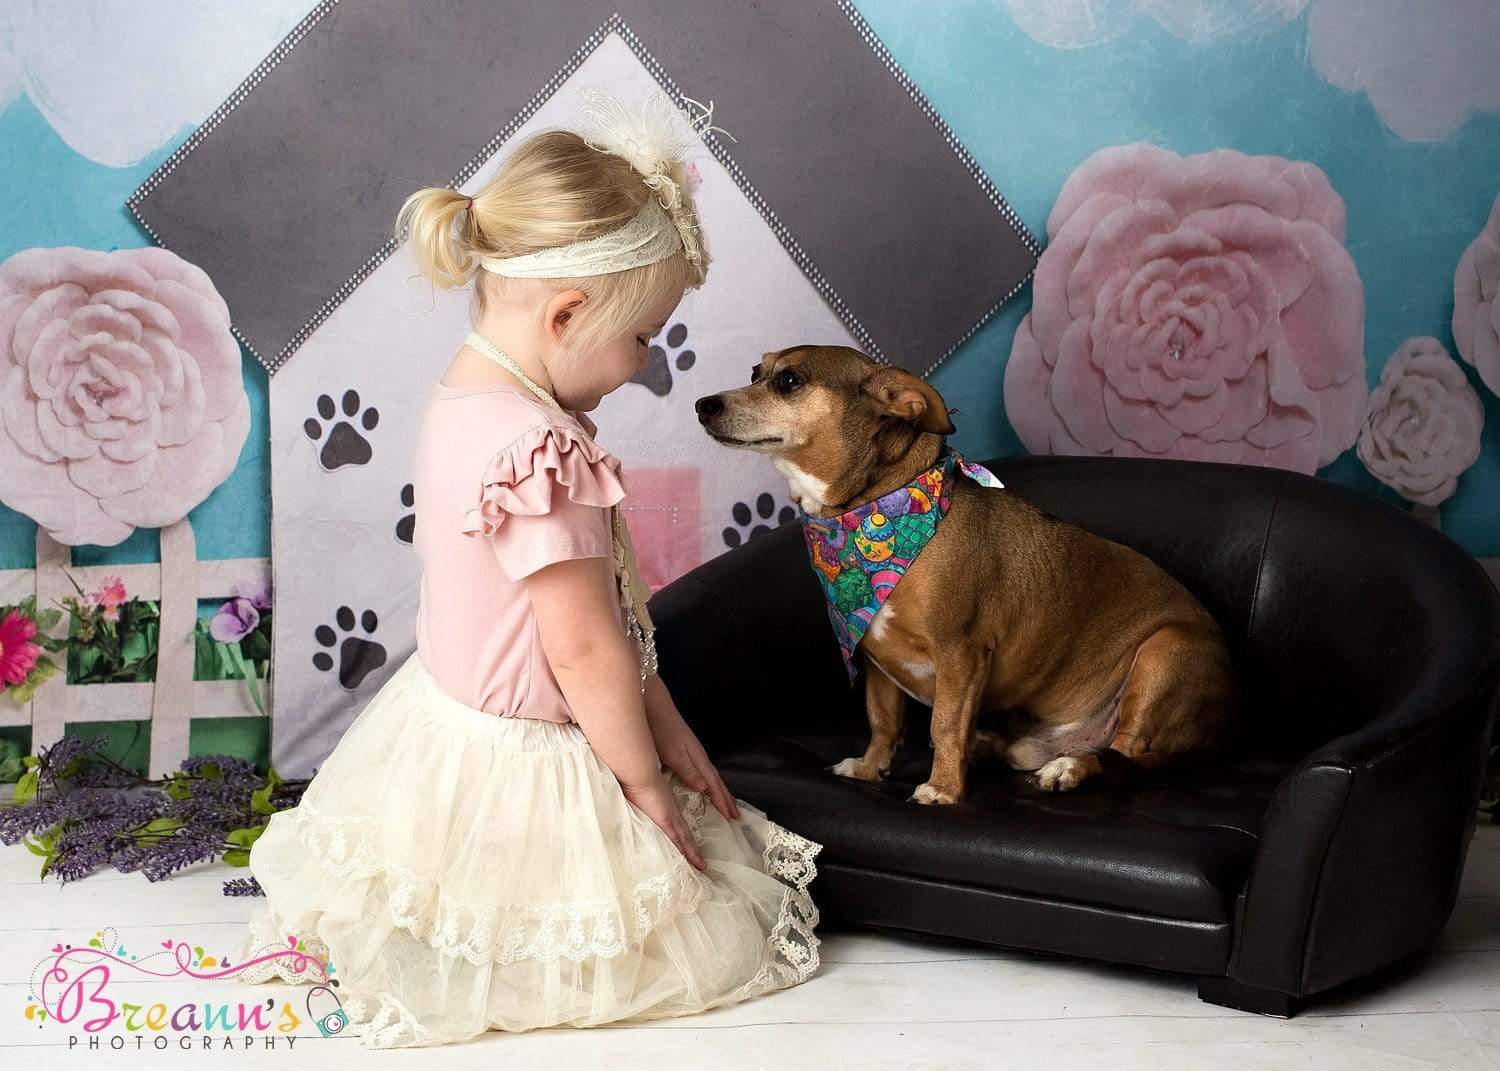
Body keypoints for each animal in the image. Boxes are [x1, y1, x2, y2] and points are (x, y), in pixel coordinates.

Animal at [696, 343, 1236, 804]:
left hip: (1165, 653)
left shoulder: (961, 652)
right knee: (1030, 752)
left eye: (789, 381)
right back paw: (998, 746)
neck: (871, 509)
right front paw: (870, 770)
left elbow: (944, 724)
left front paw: (943, 789)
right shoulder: (875, 659)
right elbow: (883, 722)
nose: (702, 404)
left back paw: (1069, 768)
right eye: (754, 372)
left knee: (1123, 756)